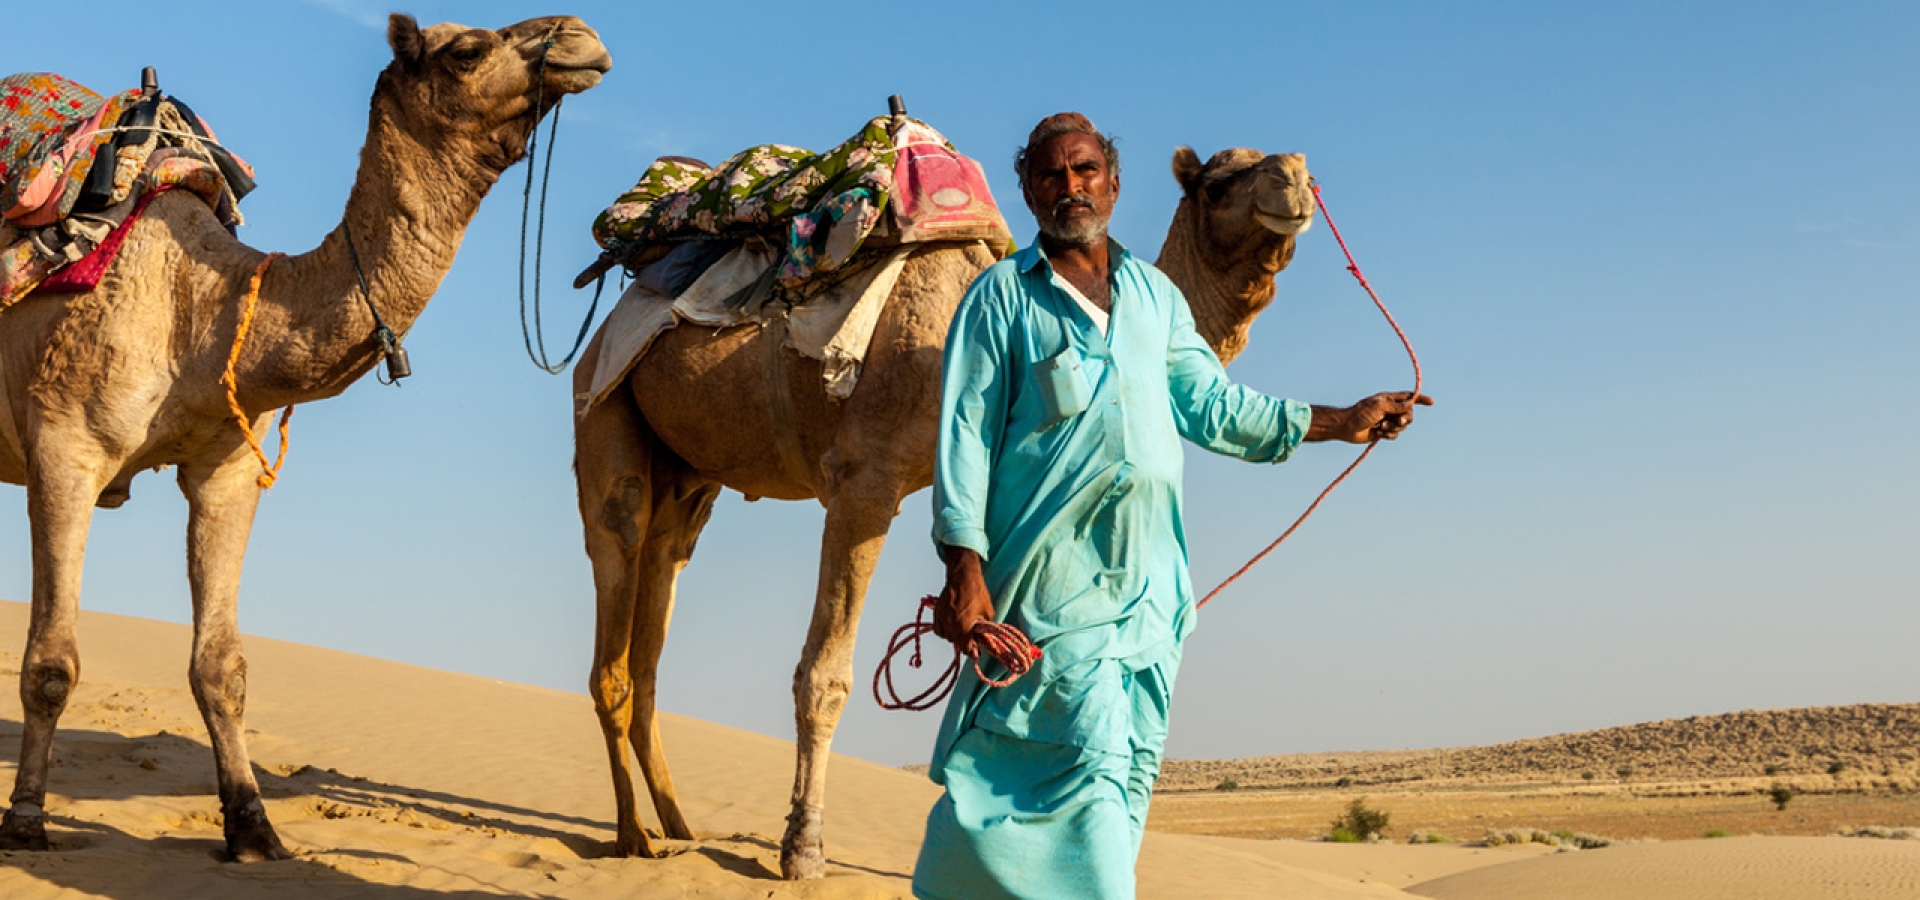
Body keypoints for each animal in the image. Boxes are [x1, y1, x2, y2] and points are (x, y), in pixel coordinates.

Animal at [0, 15, 610, 861]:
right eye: (467, 50)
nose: (583, 37)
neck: (207, 308)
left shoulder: (224, 469)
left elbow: (222, 667)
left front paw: (253, 827)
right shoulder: (65, 448)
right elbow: (51, 663)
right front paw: (26, 821)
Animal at [574, 143, 1313, 877]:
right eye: (1219, 183)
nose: (1295, 179)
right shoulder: (863, 480)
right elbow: (825, 675)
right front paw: (803, 848)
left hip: (691, 474)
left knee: (661, 590)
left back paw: (677, 826)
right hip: (604, 404)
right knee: (618, 560)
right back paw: (633, 836)